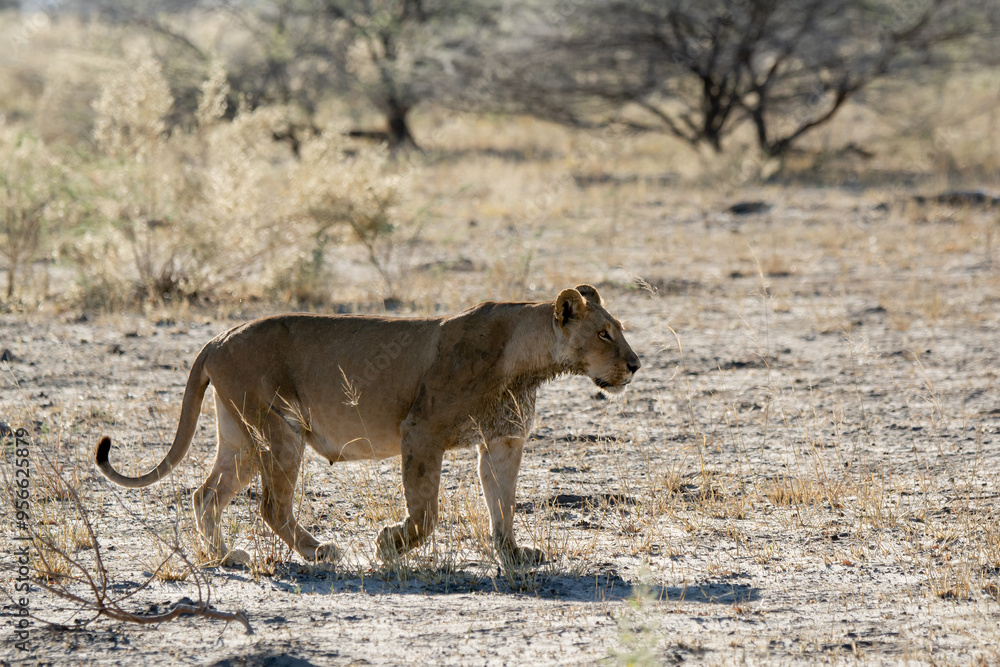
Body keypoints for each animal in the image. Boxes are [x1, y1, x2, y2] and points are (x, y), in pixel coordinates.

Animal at [95, 285, 640, 568]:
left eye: (619, 330)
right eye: (604, 334)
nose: (635, 365)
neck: (527, 363)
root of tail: (217, 337)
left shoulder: (503, 441)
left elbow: (501, 504)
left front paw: (513, 554)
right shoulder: (420, 431)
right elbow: (425, 514)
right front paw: (388, 545)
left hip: (241, 436)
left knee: (205, 494)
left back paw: (227, 556)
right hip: (281, 429)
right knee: (271, 505)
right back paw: (320, 551)